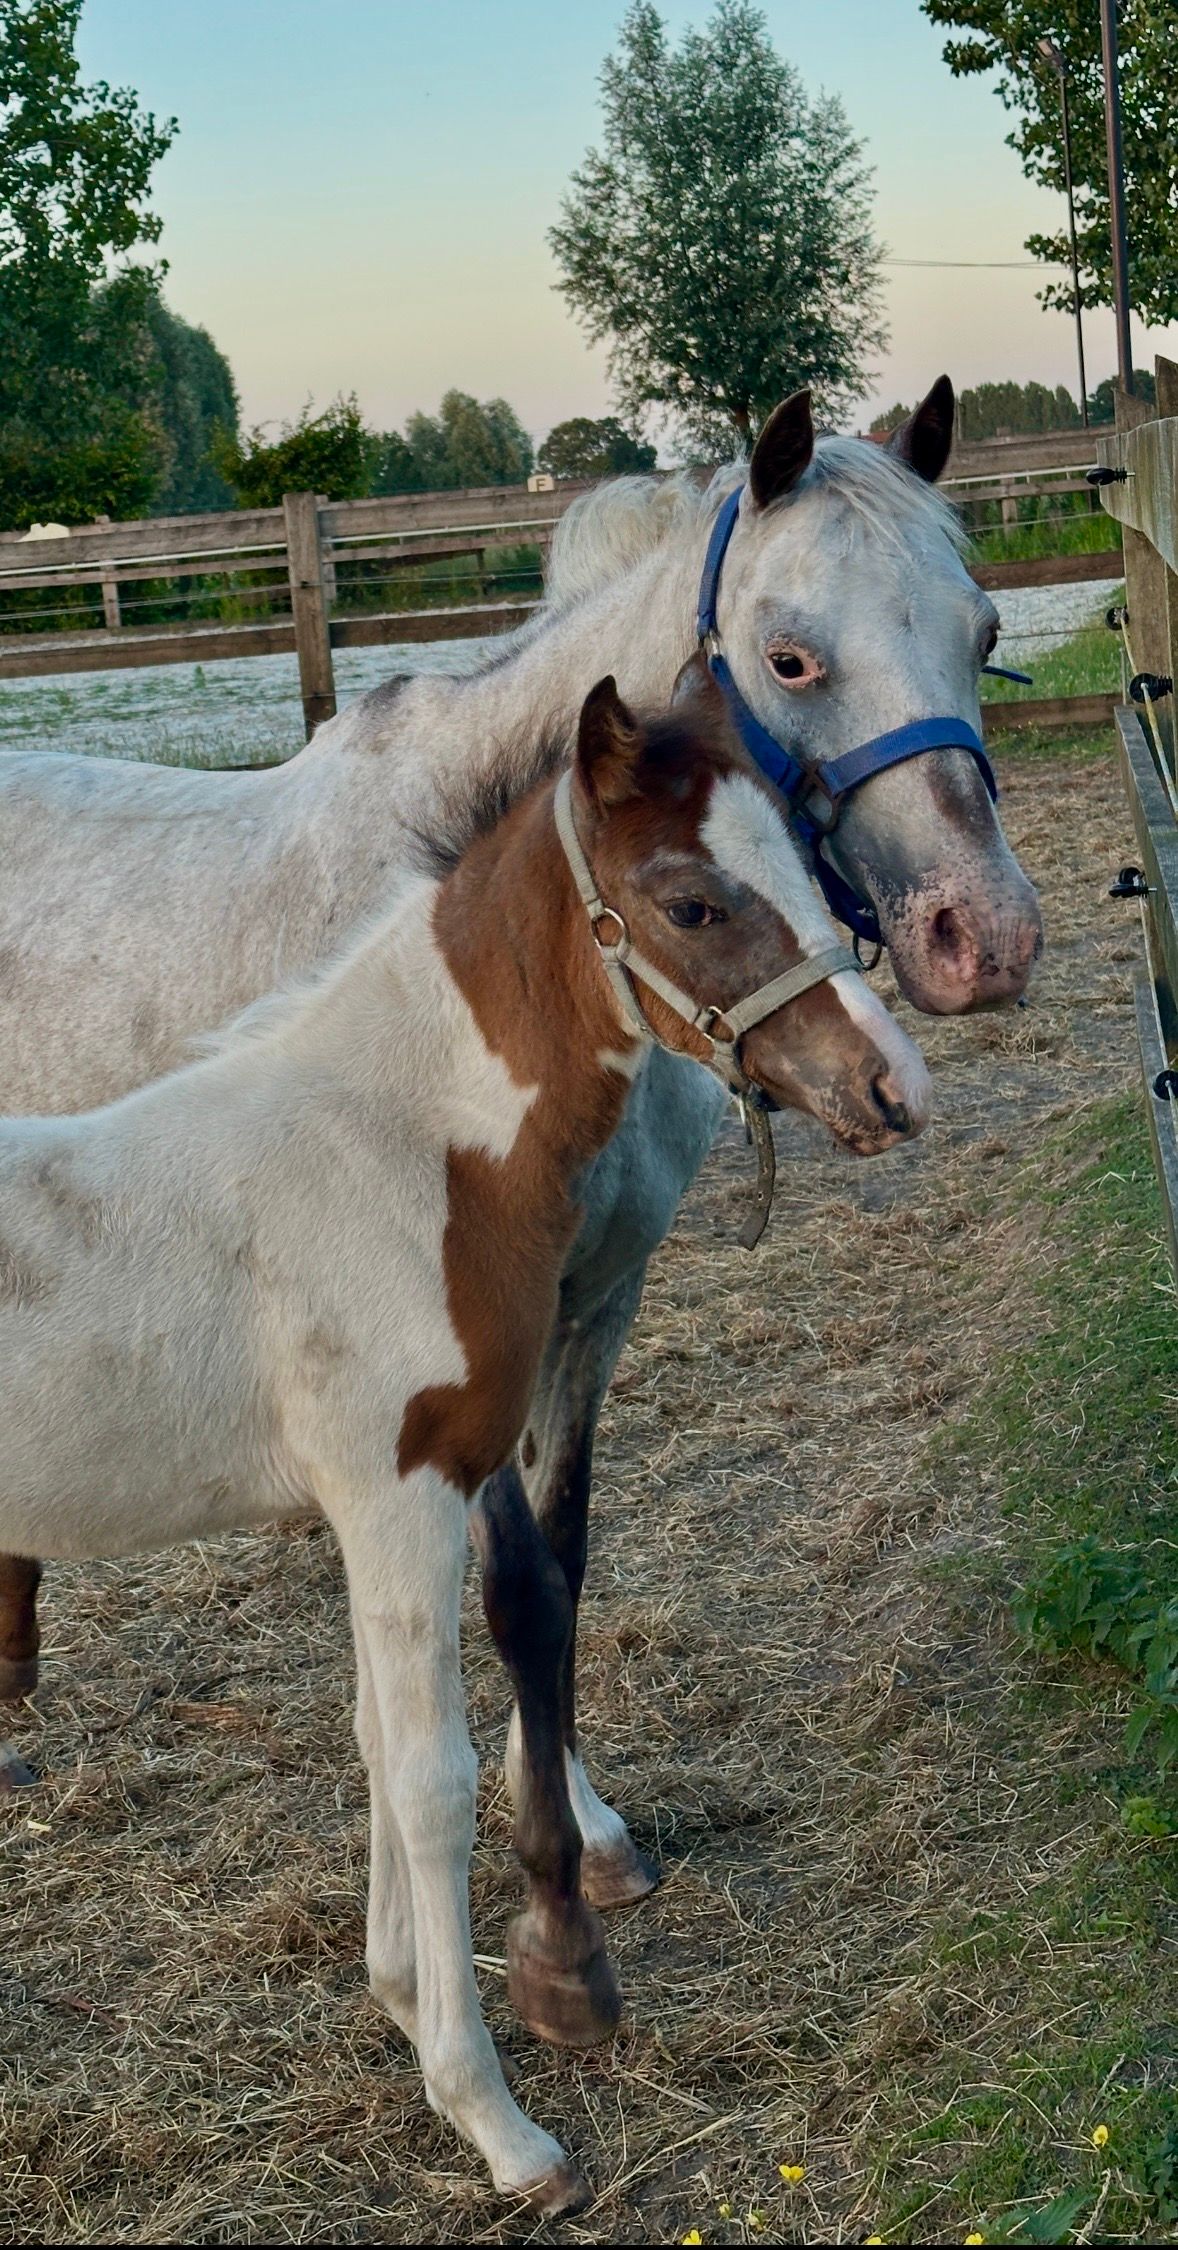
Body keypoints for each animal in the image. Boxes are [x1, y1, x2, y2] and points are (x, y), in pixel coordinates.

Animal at [0, 378, 1042, 1910]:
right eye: (789, 657)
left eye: (981, 632)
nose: (983, 940)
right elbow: (514, 1590)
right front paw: (564, 1842)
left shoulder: (591, 1302)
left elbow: (563, 1556)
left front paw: (582, 1818)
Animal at [0, 671, 930, 2212]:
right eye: (687, 903)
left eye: (815, 872)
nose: (892, 1088)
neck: (394, 1150)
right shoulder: (402, 1493)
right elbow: (432, 1778)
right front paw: (496, 2118)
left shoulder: (381, 1506)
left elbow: (380, 1742)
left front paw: (395, 1993)